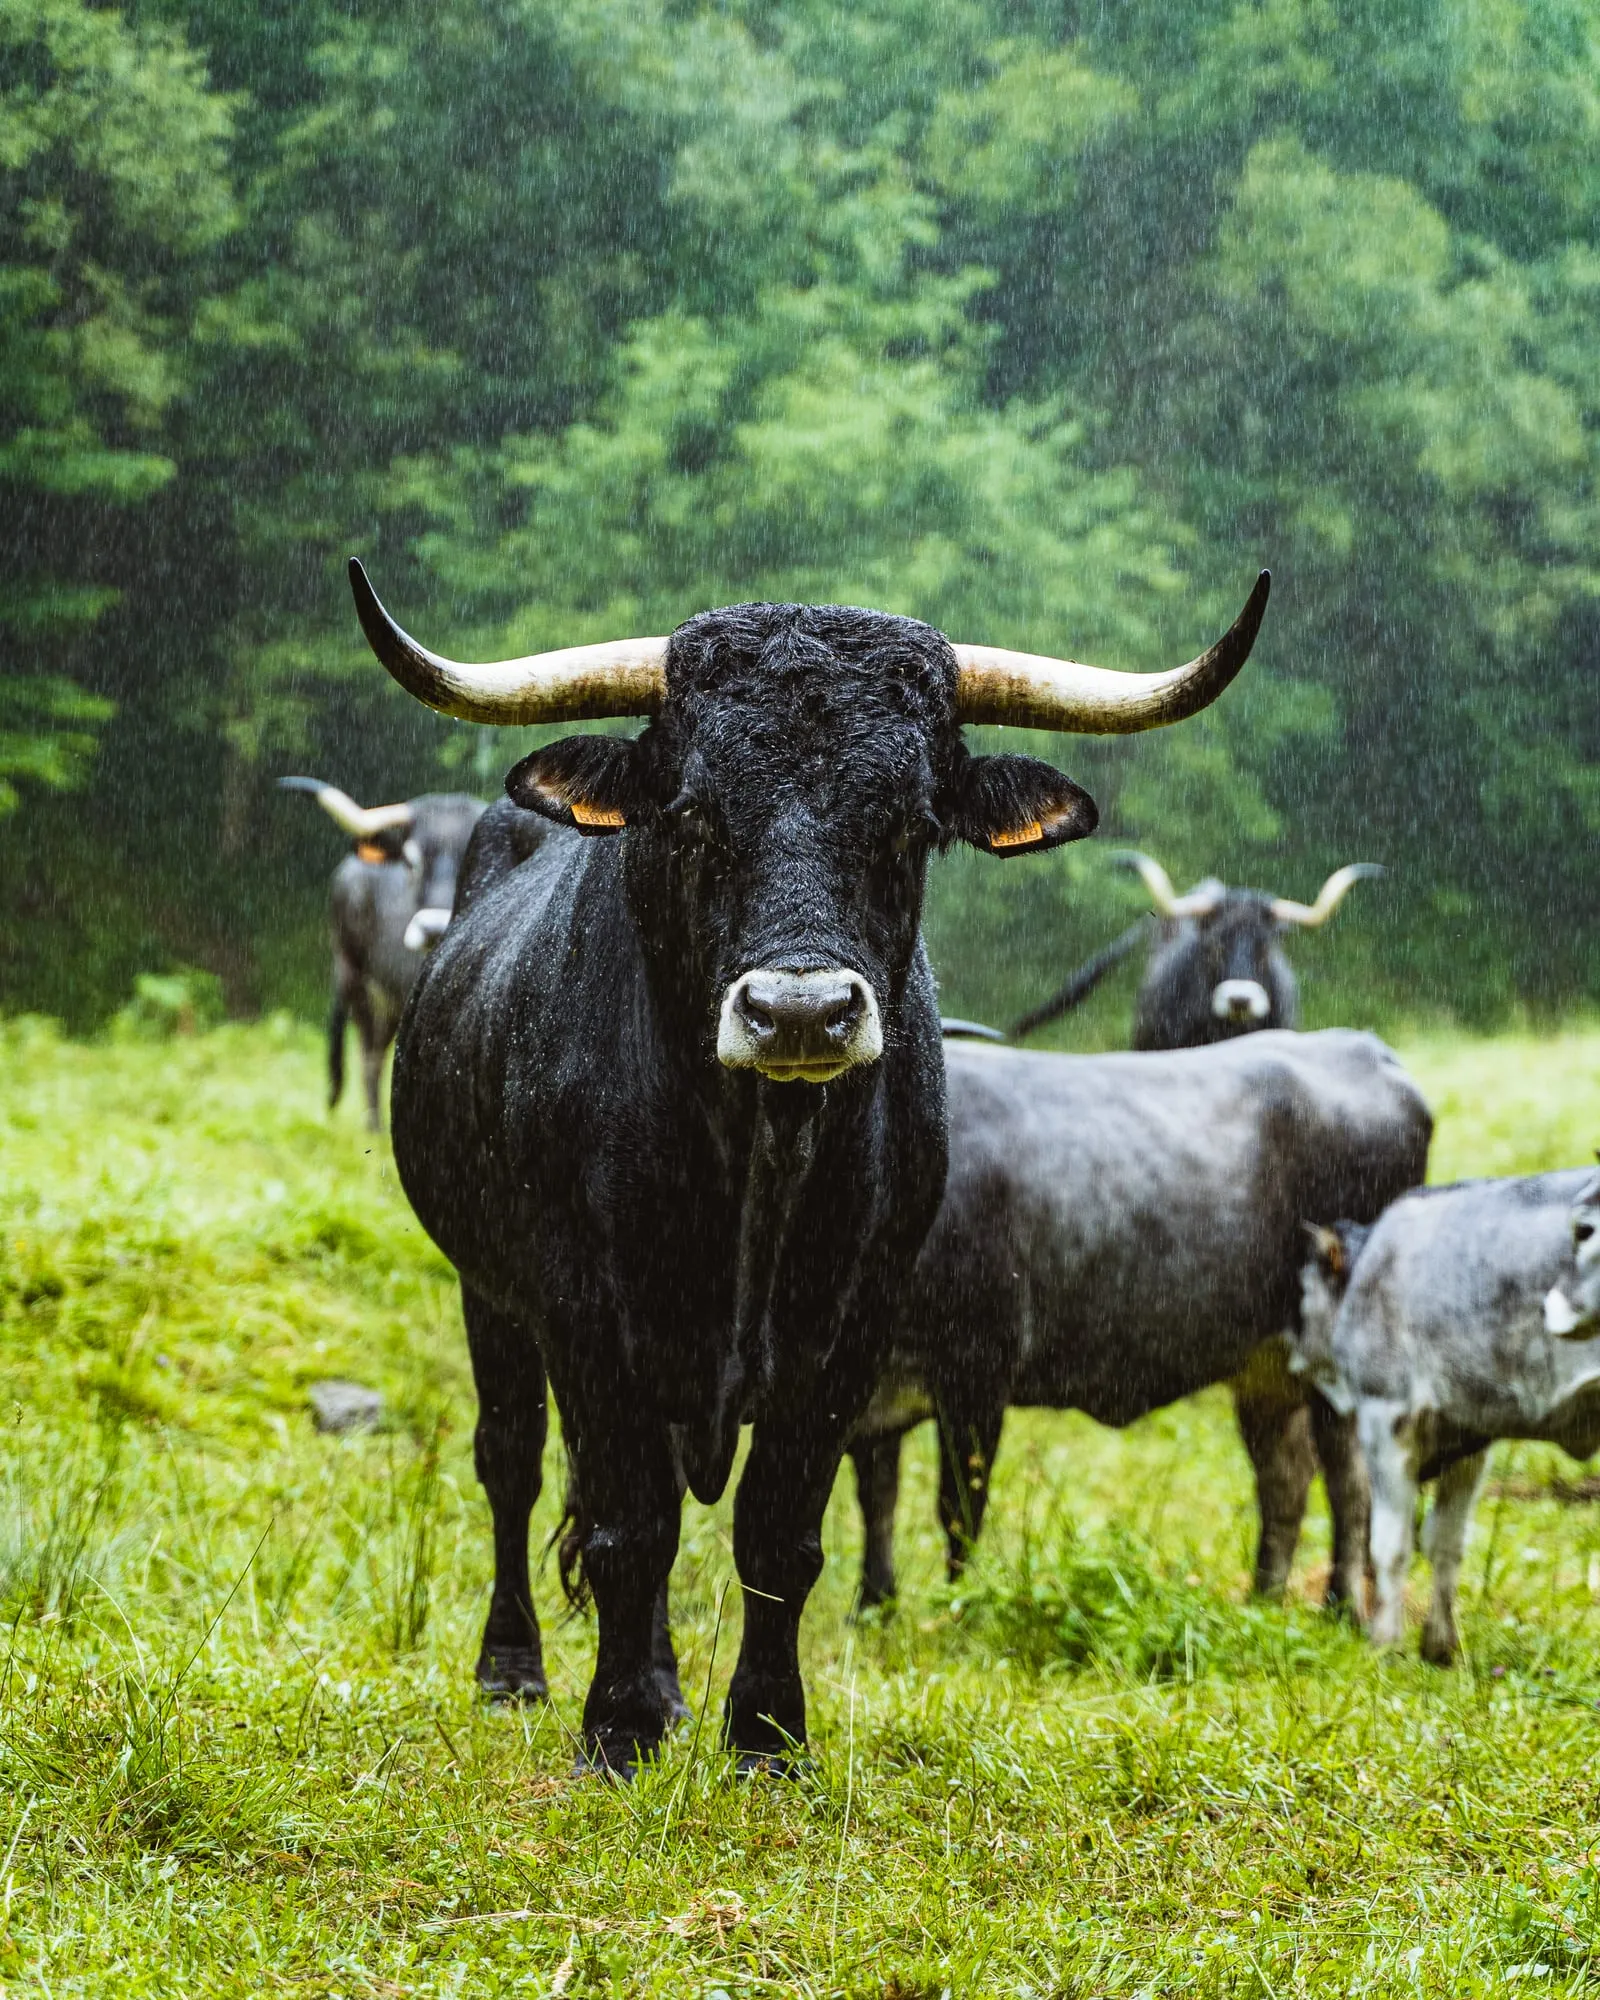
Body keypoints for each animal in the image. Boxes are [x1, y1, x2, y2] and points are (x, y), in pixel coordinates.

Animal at [346, 555, 1269, 1774]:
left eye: (911, 826)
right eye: (693, 816)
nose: (800, 1012)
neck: (756, 1153)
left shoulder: (852, 1321)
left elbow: (780, 1529)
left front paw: (765, 1732)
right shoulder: (583, 1309)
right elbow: (625, 1520)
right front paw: (619, 1726)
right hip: (487, 1291)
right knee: (514, 1459)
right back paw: (515, 1667)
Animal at [845, 1030, 1431, 1614]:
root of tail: (1362, 1047)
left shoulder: (976, 1372)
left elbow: (959, 1511)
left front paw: (959, 1608)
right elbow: (877, 1501)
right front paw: (873, 1609)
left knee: (1352, 1484)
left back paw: (1343, 1607)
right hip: (1269, 1370)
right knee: (1285, 1478)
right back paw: (1262, 1602)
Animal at [1296, 1166, 1600, 1663]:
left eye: (1303, 1292)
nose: (1296, 1358)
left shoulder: (1386, 1414)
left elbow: (1390, 1543)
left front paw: (1385, 1643)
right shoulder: (1471, 1431)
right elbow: (1446, 1543)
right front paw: (1439, 1647)